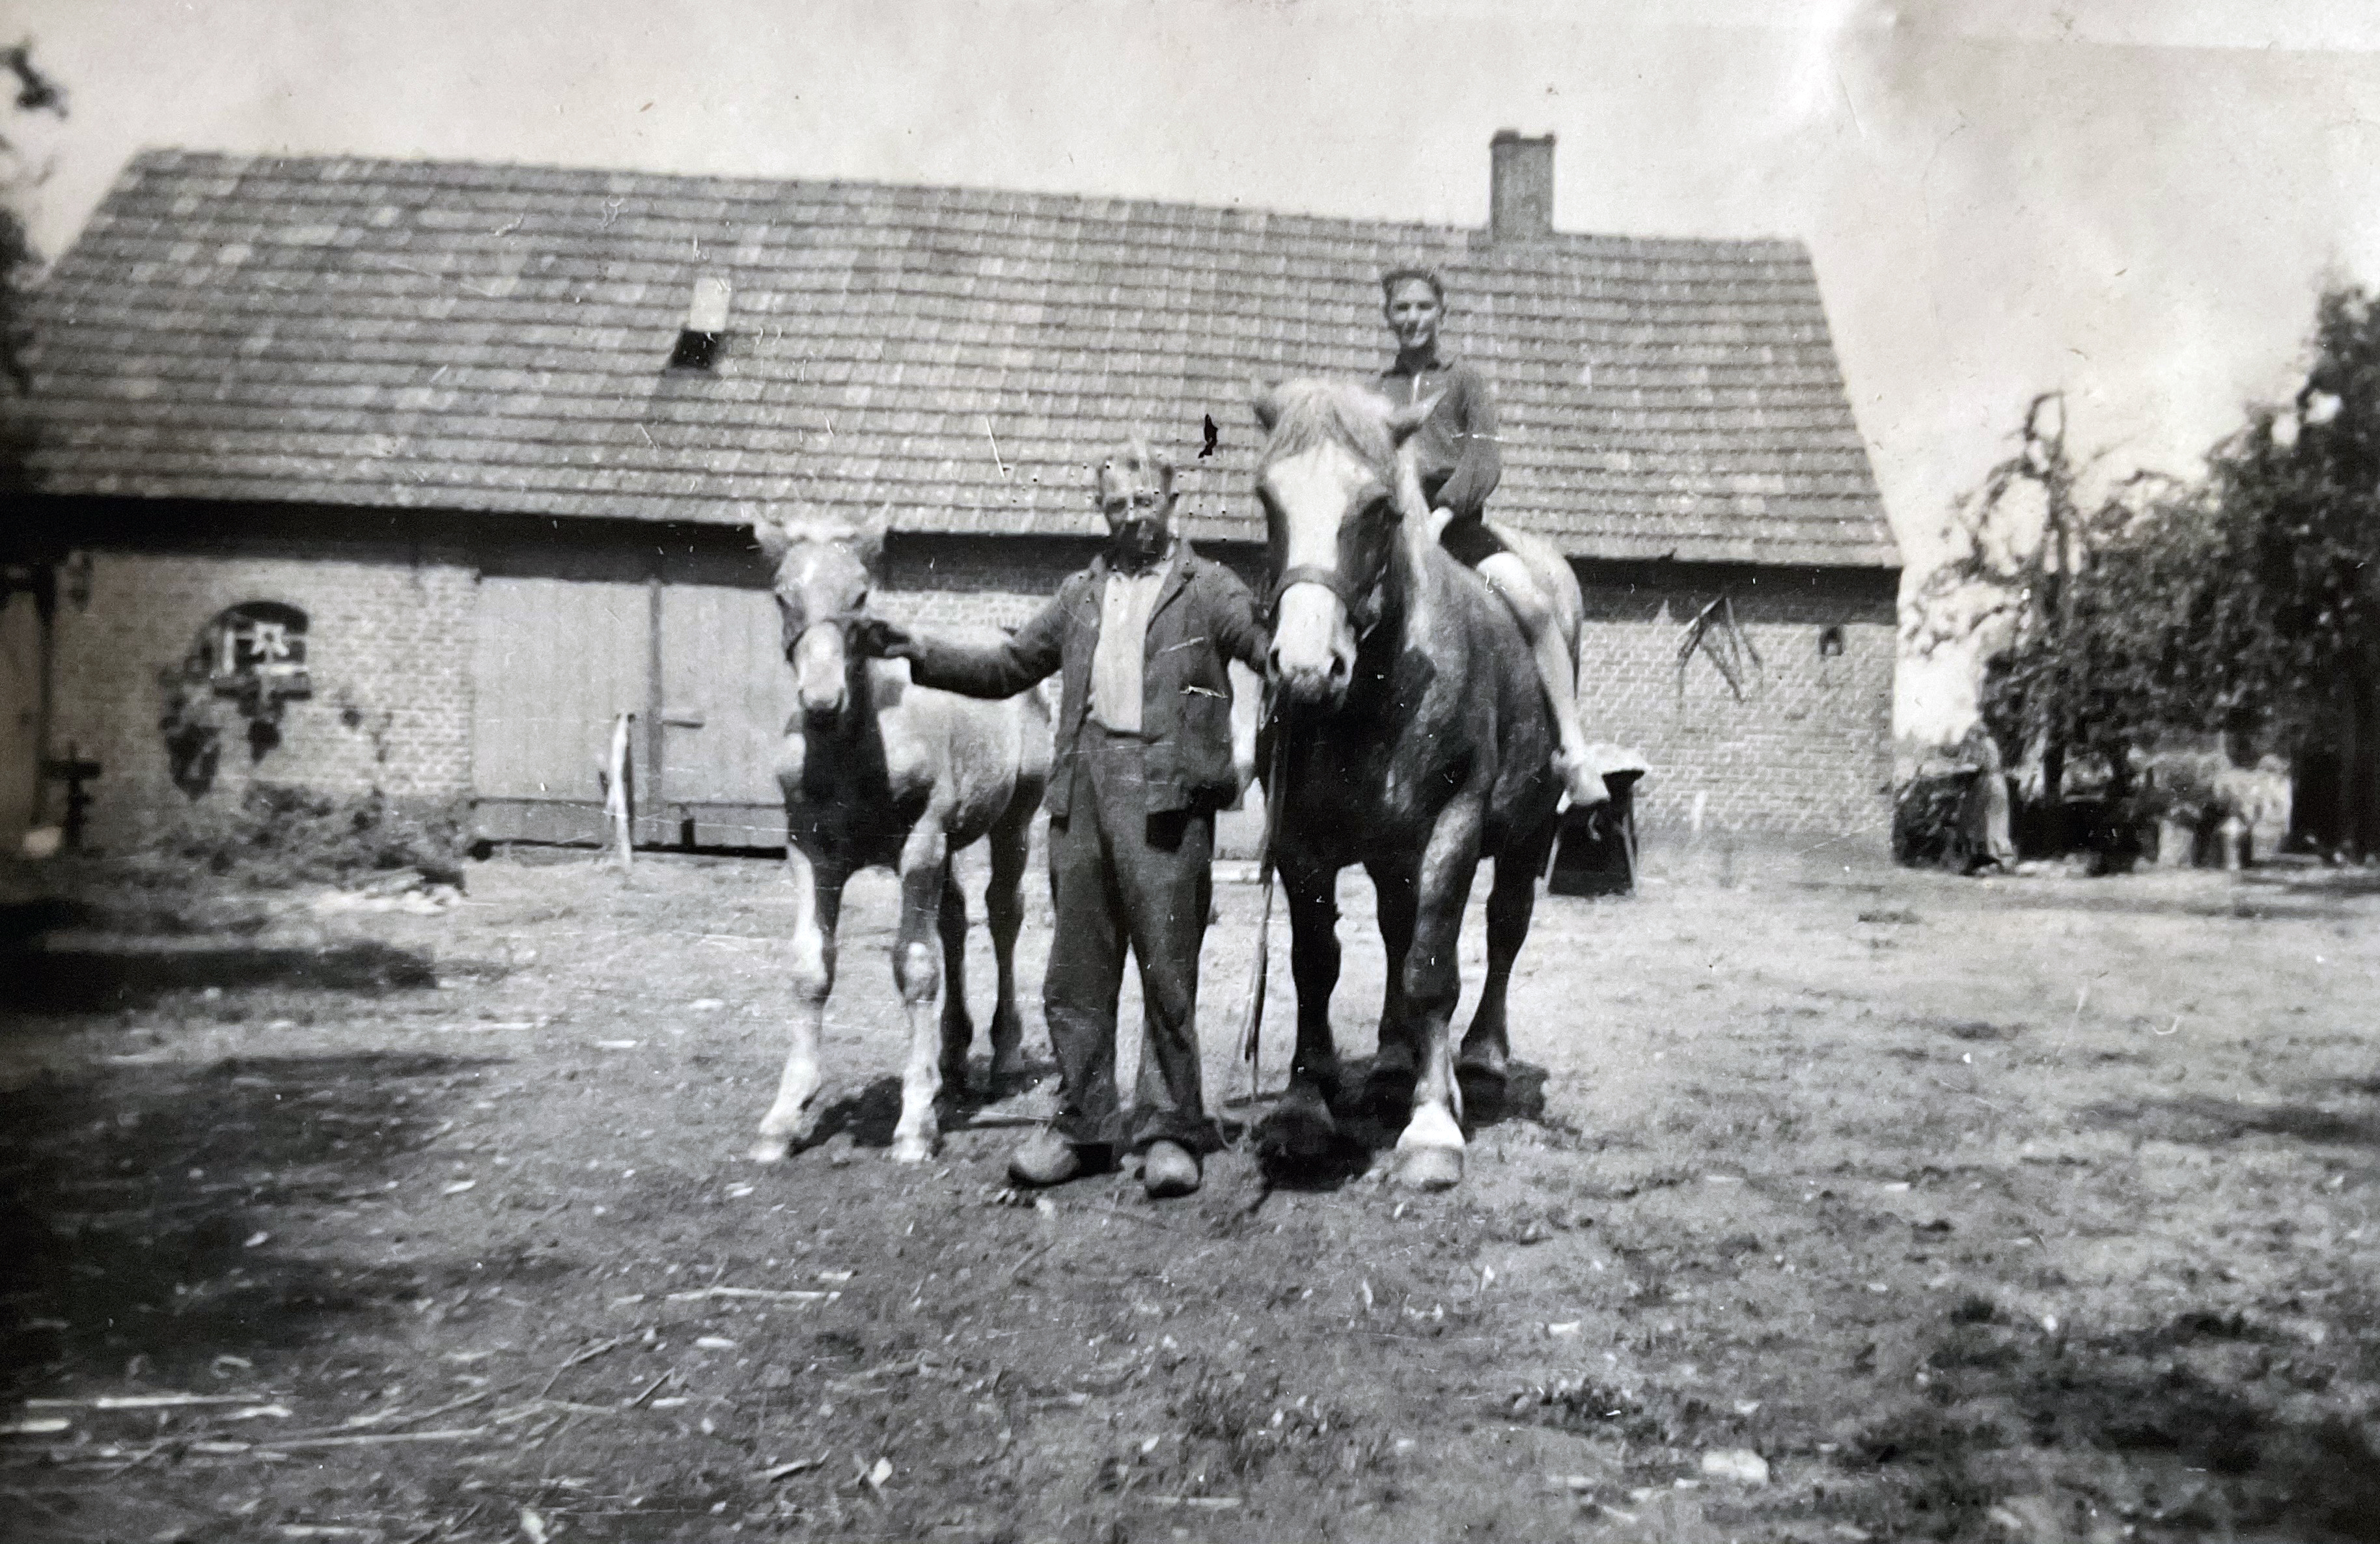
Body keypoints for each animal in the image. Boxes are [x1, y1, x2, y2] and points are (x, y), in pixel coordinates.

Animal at [748, 513, 1051, 1165]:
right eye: (783, 597)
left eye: (861, 596)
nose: (822, 700)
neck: (851, 755)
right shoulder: (808, 849)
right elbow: (811, 967)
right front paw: (784, 1117)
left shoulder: (920, 843)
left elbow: (914, 965)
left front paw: (915, 1123)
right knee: (956, 918)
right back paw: (953, 1057)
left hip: (1014, 818)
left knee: (1003, 913)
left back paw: (1005, 1056)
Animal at [1250, 378, 1576, 1190]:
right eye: (1267, 498)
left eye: (1376, 506)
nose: (1304, 668)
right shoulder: (1299, 842)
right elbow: (1314, 965)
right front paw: (1304, 1107)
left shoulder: (1452, 826)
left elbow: (1433, 969)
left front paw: (1431, 1126)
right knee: (1400, 932)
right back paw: (1395, 1065)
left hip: (1525, 832)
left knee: (1501, 929)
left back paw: (1478, 1066)